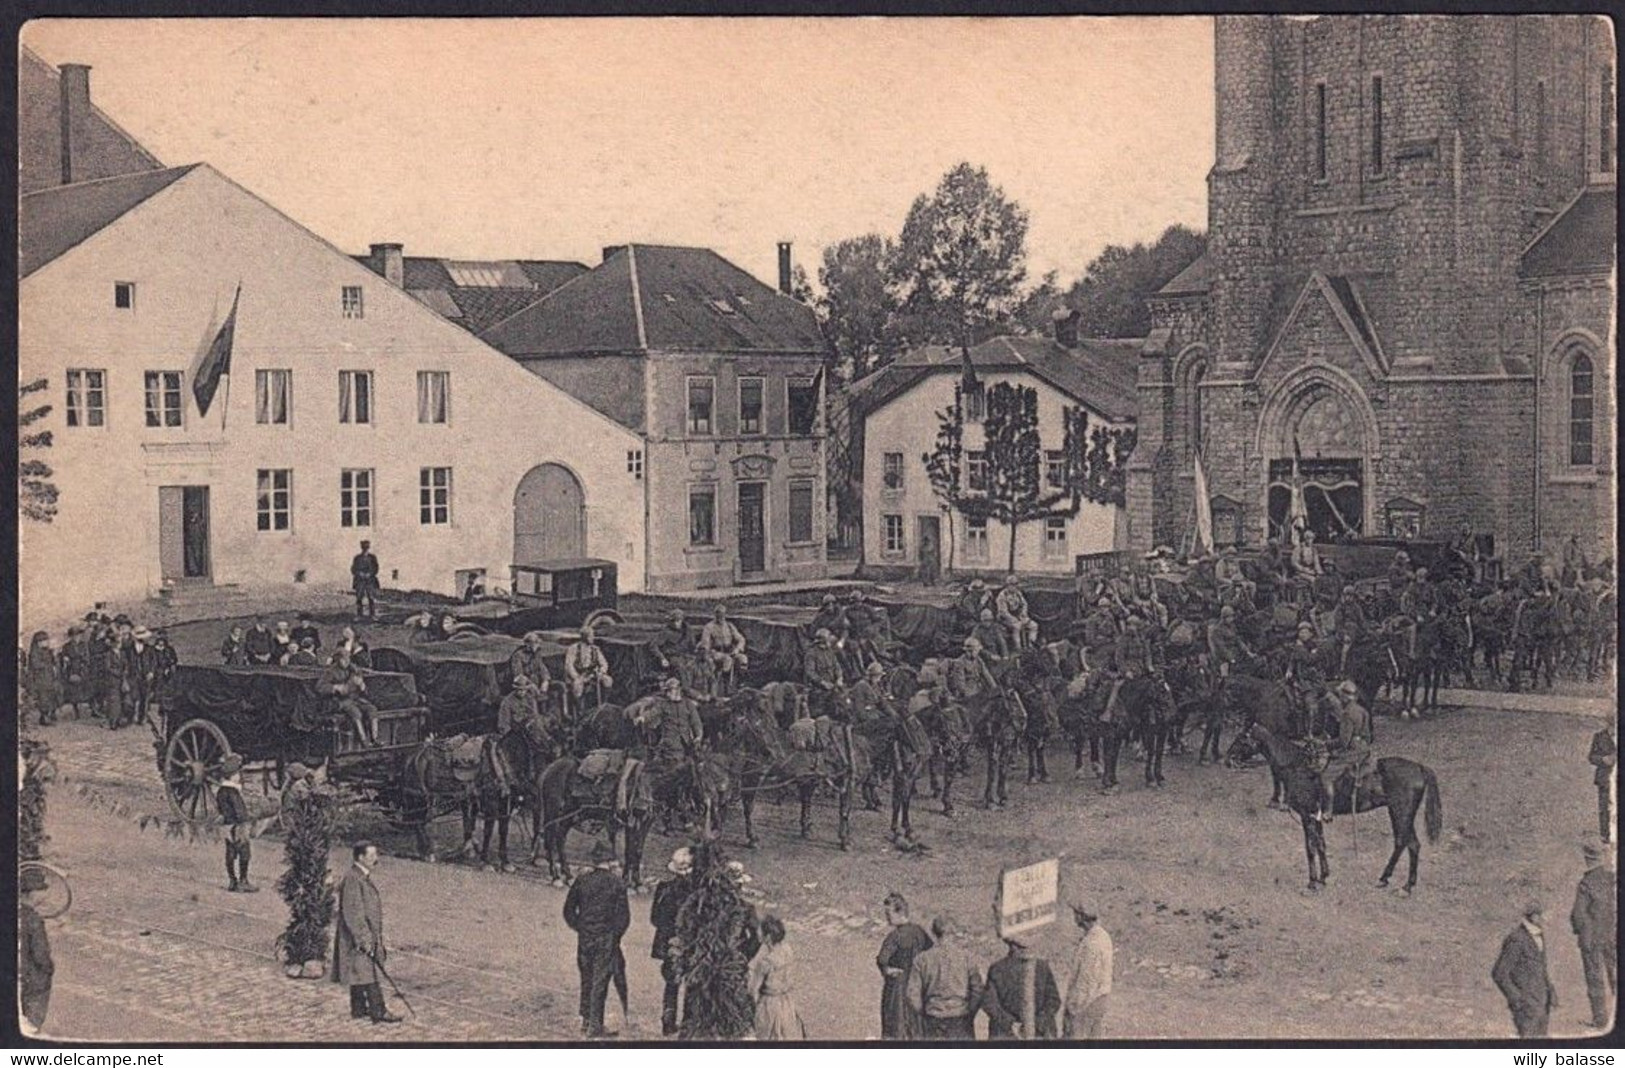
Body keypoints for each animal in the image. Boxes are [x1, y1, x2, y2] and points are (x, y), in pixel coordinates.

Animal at [1241, 725, 1449, 890]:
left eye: (1242, 737)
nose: (1232, 758)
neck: (1298, 768)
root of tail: (1420, 768)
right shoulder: (1315, 816)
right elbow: (1321, 844)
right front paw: (1324, 877)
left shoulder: (1306, 816)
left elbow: (1310, 847)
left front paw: (1312, 881)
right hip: (1401, 814)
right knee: (1409, 844)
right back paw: (1396, 881)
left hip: (1401, 813)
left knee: (1405, 842)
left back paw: (1399, 883)